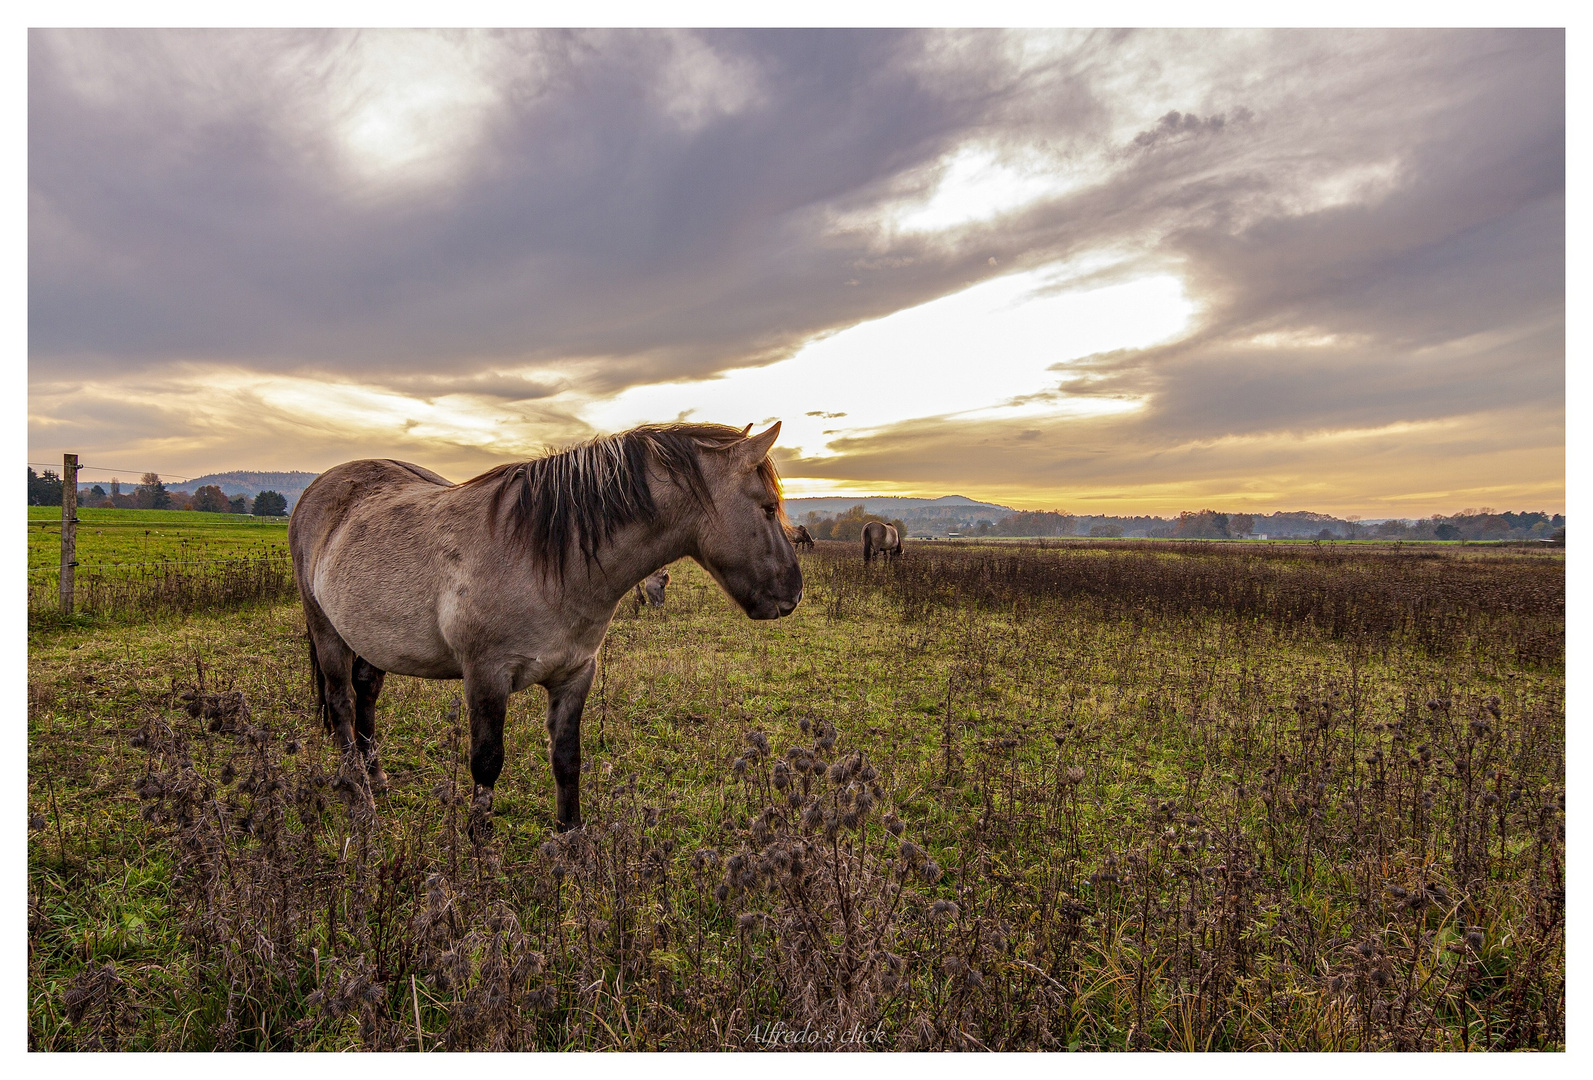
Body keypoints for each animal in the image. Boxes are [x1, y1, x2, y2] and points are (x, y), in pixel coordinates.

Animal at [291, 423, 802, 828]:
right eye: (767, 507)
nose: (793, 594)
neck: (547, 561)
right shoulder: (486, 676)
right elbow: (486, 764)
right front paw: (479, 851)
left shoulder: (575, 674)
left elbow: (567, 761)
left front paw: (571, 844)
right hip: (327, 631)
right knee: (341, 703)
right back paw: (361, 801)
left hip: (372, 640)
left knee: (366, 693)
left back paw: (376, 777)